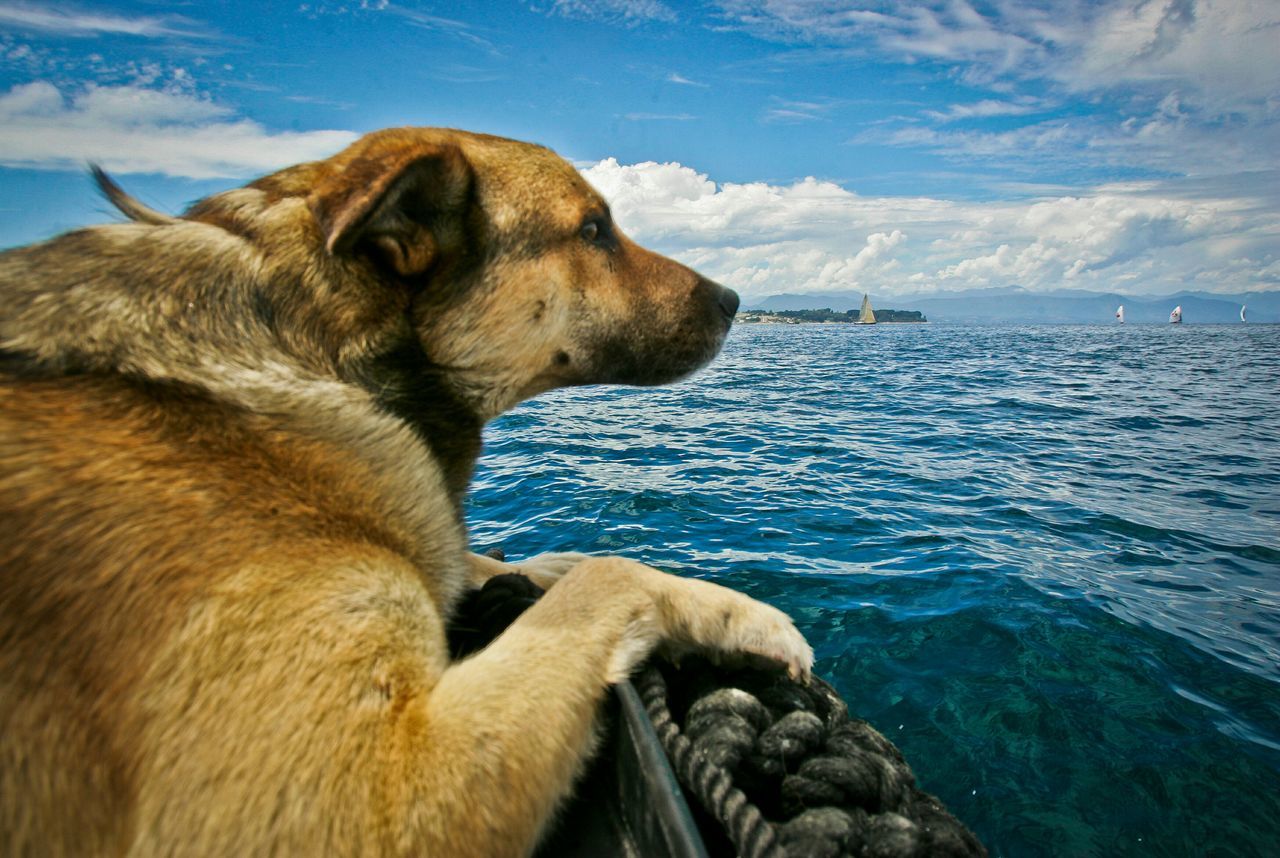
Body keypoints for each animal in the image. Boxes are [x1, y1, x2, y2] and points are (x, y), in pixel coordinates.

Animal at [0, 129, 808, 858]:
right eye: (591, 229)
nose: (735, 299)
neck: (315, 349)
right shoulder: (357, 795)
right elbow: (607, 576)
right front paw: (750, 618)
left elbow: (537, 566)